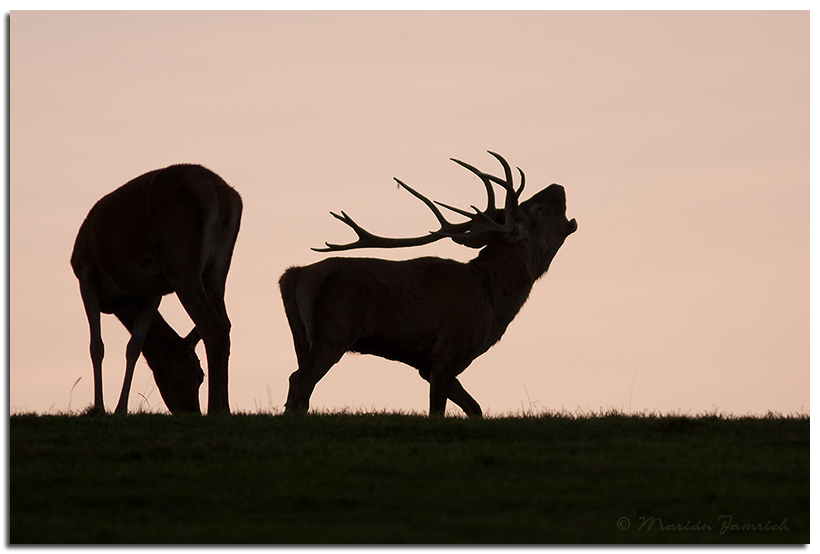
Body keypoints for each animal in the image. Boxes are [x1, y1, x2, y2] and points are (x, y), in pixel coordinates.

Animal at [71, 162, 240, 412]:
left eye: (199, 377)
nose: (192, 411)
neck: (121, 302)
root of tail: (222, 195)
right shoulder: (151, 293)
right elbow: (133, 347)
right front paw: (120, 409)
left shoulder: (86, 273)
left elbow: (97, 347)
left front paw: (100, 408)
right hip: (217, 270)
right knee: (226, 323)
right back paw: (226, 410)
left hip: (180, 261)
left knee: (212, 324)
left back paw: (215, 411)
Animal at [282, 151, 576, 414]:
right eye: (537, 208)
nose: (557, 186)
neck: (493, 303)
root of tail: (293, 276)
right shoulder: (448, 349)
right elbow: (437, 410)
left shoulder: (428, 364)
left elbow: (475, 408)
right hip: (333, 332)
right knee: (299, 381)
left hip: (301, 338)